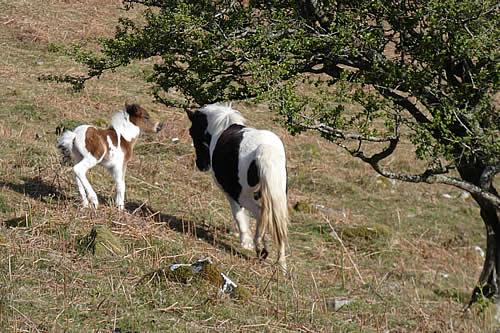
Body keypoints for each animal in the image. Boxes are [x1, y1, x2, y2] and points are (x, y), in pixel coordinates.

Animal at [187, 102, 290, 272]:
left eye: (192, 132)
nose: (201, 165)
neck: (221, 129)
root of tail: (265, 150)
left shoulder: (231, 193)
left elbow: (239, 215)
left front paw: (245, 242)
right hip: (277, 196)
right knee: (278, 224)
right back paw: (281, 265)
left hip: (245, 196)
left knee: (262, 214)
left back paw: (260, 247)